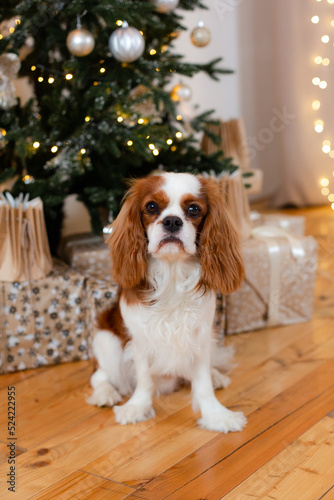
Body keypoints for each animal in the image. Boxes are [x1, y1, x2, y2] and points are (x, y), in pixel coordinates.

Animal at [87, 172, 247, 434]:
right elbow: (143, 380)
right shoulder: (141, 339)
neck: (172, 274)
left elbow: (202, 383)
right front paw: (137, 408)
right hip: (105, 340)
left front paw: (217, 416)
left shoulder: (199, 335)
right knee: (100, 376)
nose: (172, 221)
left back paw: (216, 376)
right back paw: (105, 394)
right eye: (152, 207)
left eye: (193, 209)